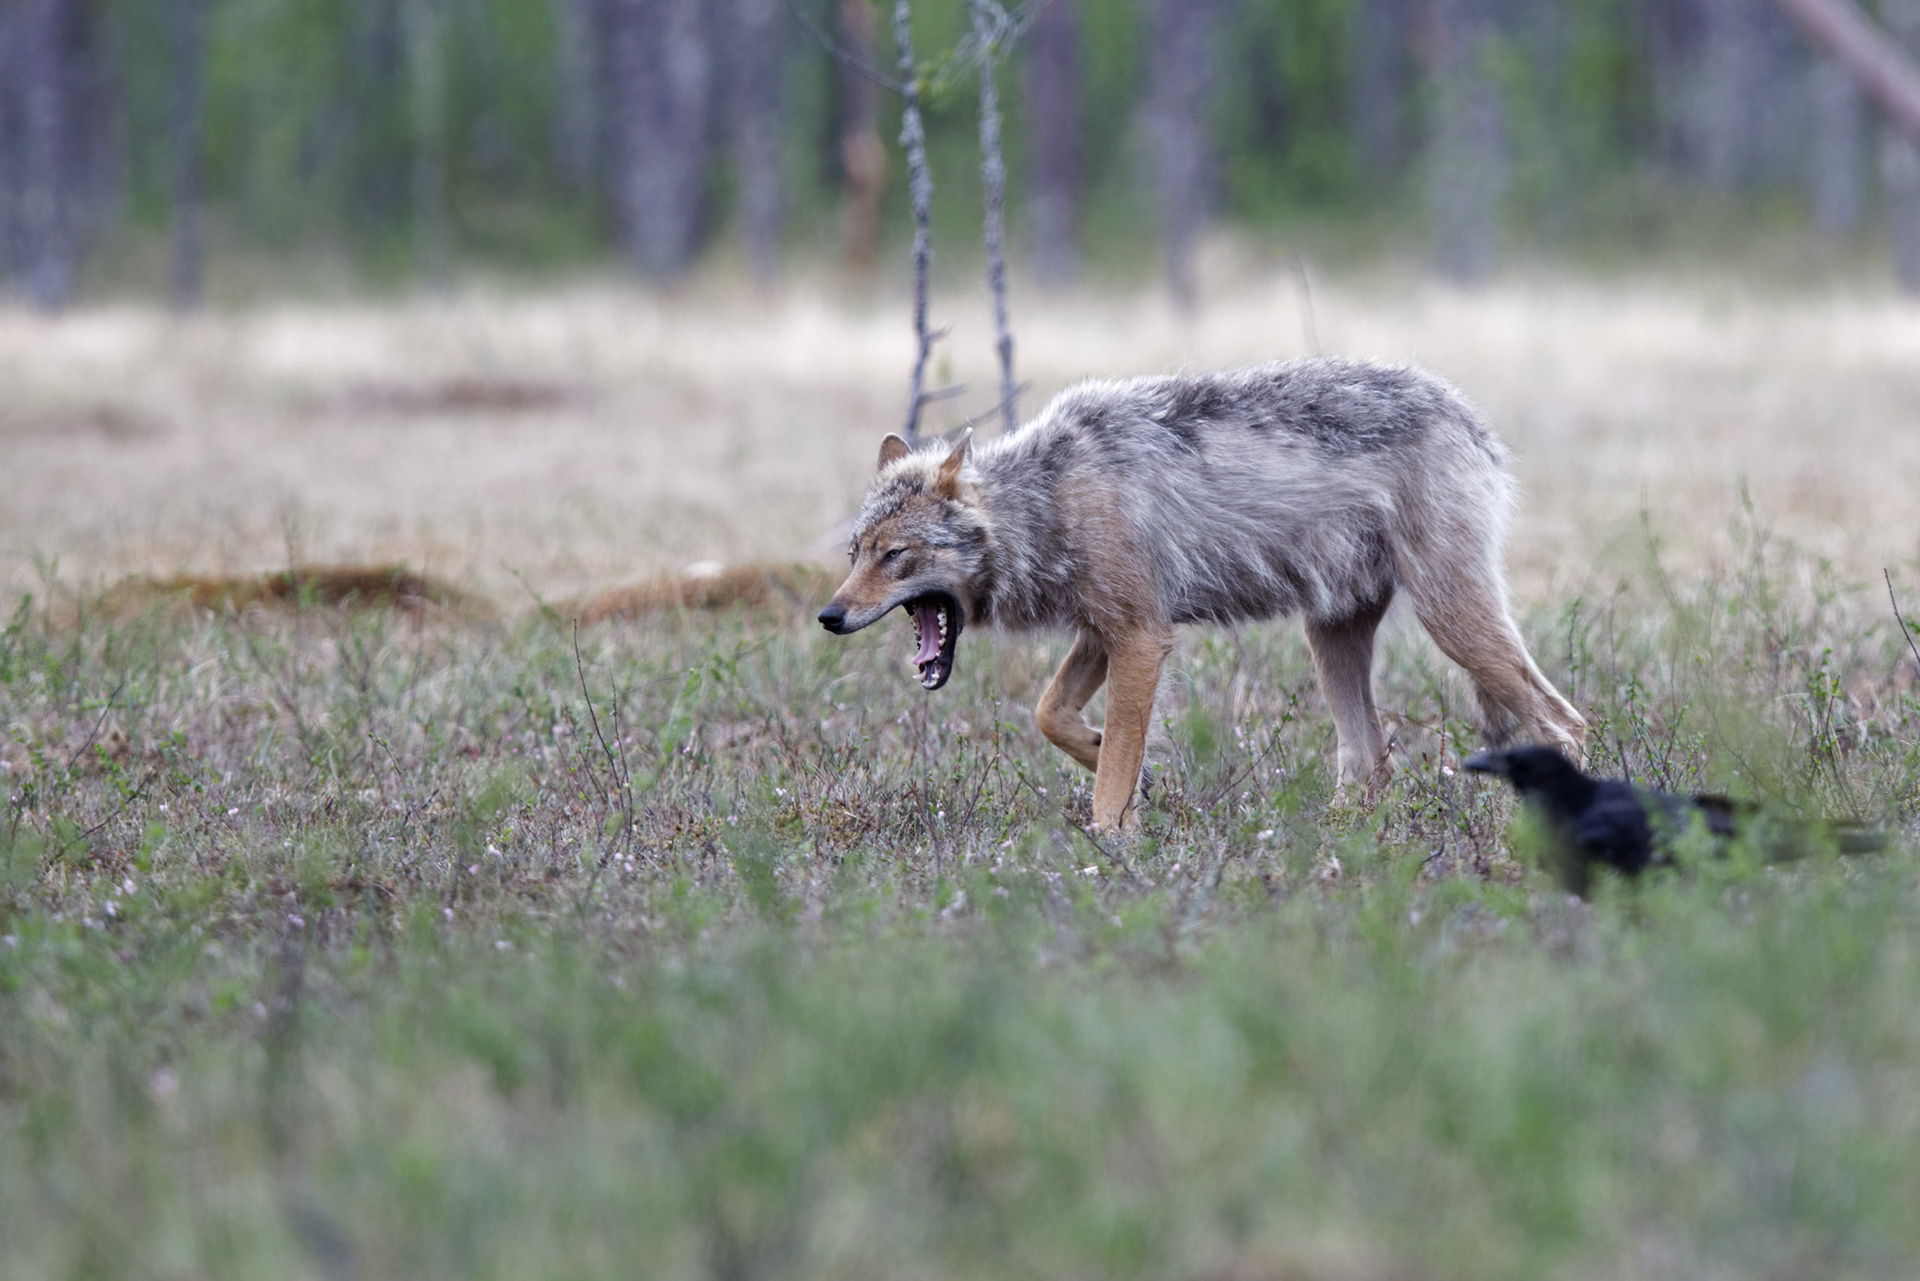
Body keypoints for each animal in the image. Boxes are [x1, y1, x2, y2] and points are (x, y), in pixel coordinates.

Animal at [817, 357, 1586, 831]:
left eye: (895, 556)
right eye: (854, 554)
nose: (829, 615)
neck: (1049, 500)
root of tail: (1469, 417)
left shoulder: (1140, 638)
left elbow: (1110, 774)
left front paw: (1110, 841)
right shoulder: (1103, 632)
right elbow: (1052, 716)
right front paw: (1132, 781)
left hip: (1453, 623)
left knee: (1567, 724)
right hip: (1332, 639)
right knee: (1371, 759)